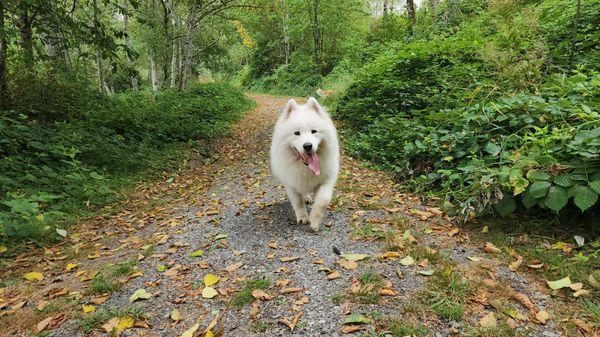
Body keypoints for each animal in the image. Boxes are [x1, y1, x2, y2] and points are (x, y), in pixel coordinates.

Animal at [270, 96, 340, 230]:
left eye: (314, 131)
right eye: (297, 133)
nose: (308, 145)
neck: (306, 168)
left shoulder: (326, 180)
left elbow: (323, 200)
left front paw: (314, 220)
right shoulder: (291, 183)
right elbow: (297, 201)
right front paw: (302, 217)